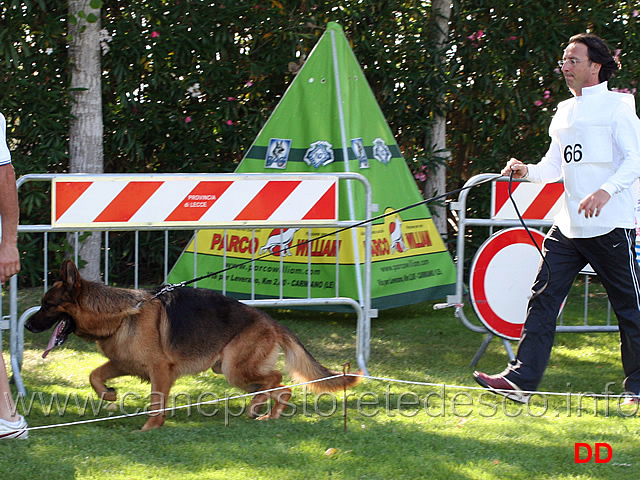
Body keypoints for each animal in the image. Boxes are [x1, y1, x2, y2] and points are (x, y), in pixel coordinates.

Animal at [23, 260, 360, 430]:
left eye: (47, 305)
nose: (27, 325)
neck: (122, 314)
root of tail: (269, 320)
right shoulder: (122, 363)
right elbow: (94, 375)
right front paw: (108, 395)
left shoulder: (160, 370)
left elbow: (157, 401)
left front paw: (151, 427)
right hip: (232, 370)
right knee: (277, 386)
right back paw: (265, 411)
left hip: (235, 368)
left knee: (278, 379)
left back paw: (262, 408)